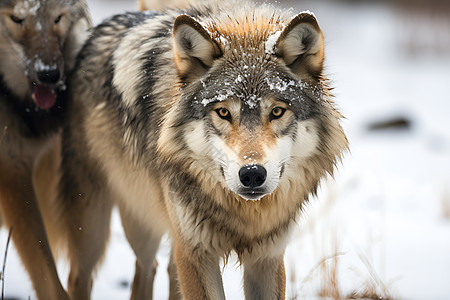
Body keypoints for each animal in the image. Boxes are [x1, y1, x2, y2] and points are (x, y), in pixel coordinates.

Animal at [59, 1, 348, 298]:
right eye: (223, 112)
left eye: (277, 111)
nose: (252, 174)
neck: (244, 215)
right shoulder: (194, 253)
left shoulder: (266, 257)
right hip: (102, 223)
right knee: (82, 276)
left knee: (151, 269)